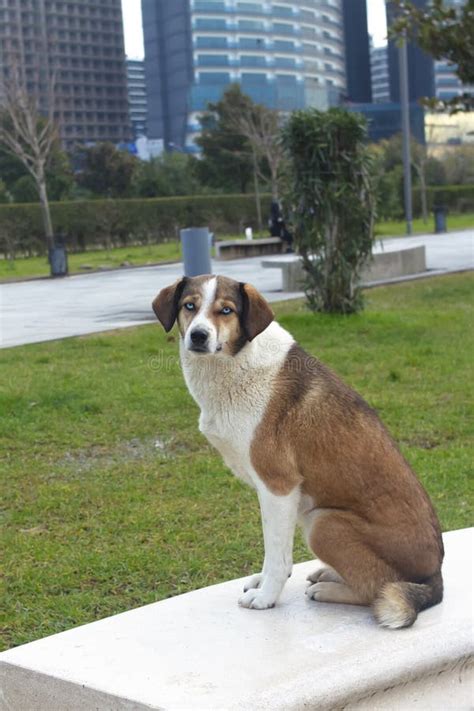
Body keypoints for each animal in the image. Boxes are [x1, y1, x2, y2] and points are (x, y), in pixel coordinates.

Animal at [153, 276, 444, 632]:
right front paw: (263, 582)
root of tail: (435, 578)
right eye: (189, 306)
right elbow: (270, 549)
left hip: (323, 522)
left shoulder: (278, 486)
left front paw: (267, 597)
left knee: (377, 588)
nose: (198, 335)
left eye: (226, 310)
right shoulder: (271, 494)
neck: (237, 362)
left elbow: (277, 554)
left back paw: (330, 589)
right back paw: (330, 574)